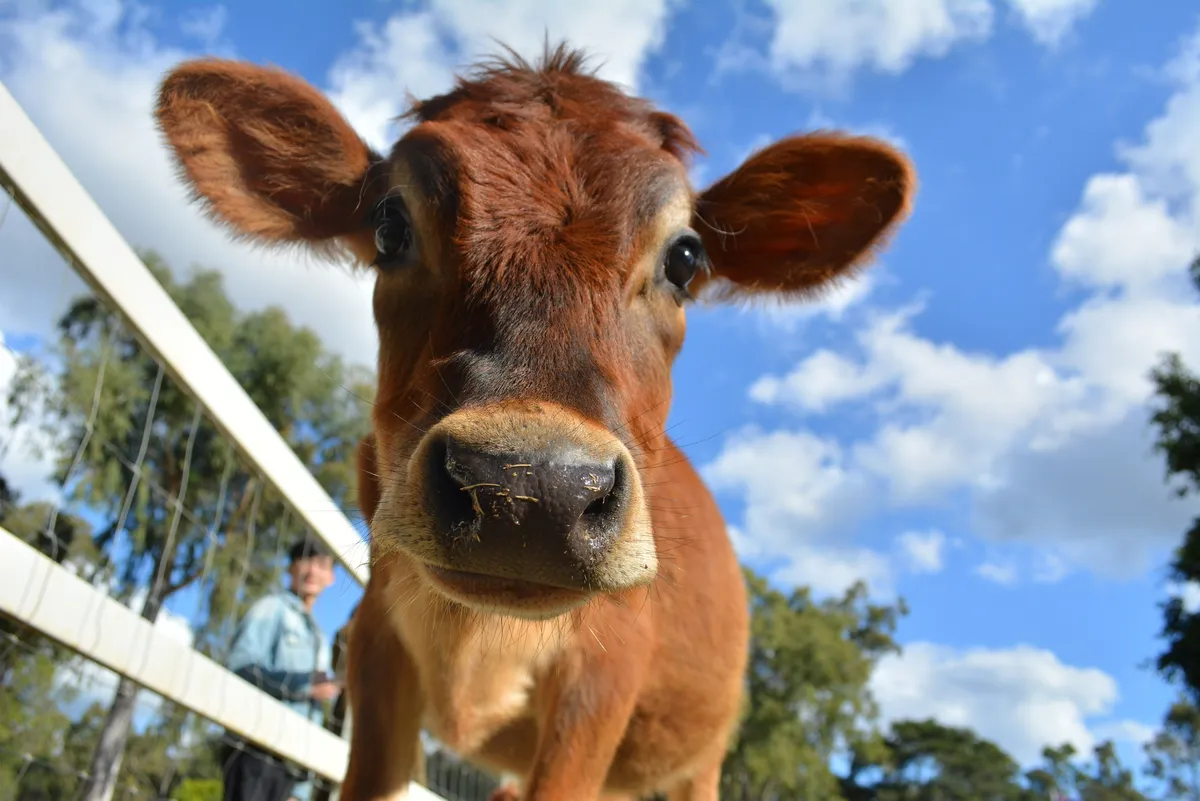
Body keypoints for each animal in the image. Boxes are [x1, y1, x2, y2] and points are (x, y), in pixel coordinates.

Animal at [154, 42, 915, 801]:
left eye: (685, 257)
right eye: (390, 226)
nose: (530, 490)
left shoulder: (604, 674)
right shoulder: (375, 641)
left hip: (699, 758)